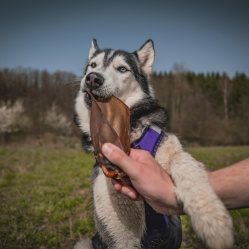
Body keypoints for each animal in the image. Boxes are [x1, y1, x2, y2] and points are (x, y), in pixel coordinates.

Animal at [74, 40, 233, 248]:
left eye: (122, 69)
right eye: (93, 65)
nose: (92, 78)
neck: (130, 138)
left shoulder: (172, 148)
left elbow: (184, 163)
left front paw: (212, 219)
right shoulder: (120, 237)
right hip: (84, 243)